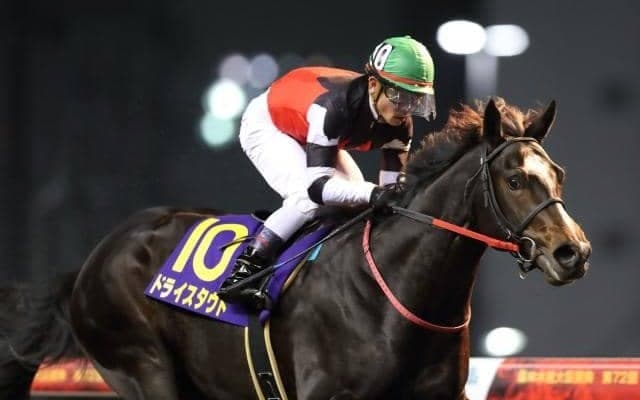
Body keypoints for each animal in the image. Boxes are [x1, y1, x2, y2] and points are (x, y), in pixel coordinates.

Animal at [0, 98, 591, 400]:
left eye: (558, 173)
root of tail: (88, 264)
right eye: (514, 179)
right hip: (141, 366)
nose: (573, 253)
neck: (398, 294)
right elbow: (313, 183)